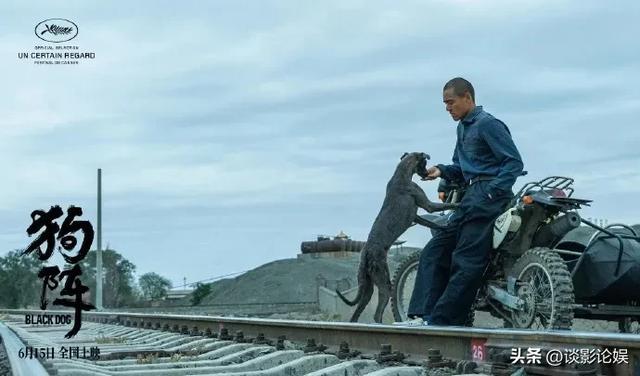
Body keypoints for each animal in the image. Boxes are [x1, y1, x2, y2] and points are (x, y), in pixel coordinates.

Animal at [338, 153, 458, 324]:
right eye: (424, 162)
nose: (427, 173)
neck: (401, 174)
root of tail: (366, 253)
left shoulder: (416, 216)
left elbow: (432, 223)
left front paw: (444, 227)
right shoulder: (428, 205)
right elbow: (446, 206)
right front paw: (459, 205)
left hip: (367, 286)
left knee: (355, 315)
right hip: (384, 282)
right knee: (377, 313)